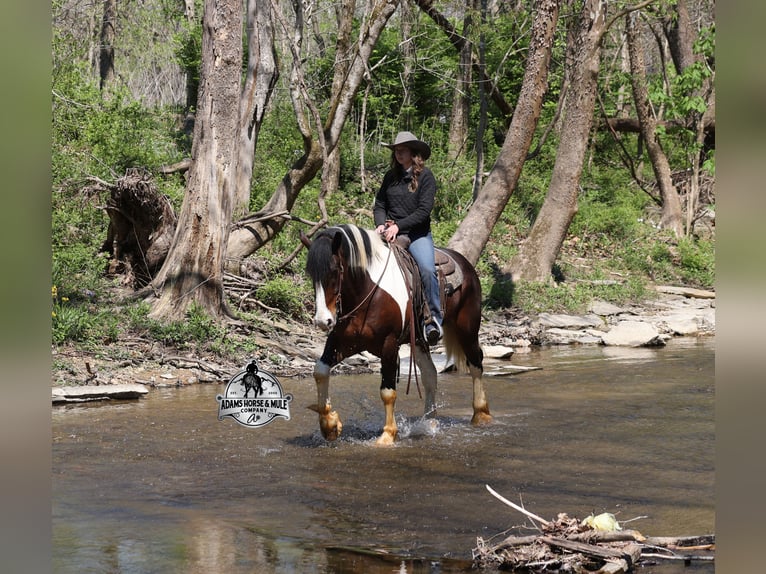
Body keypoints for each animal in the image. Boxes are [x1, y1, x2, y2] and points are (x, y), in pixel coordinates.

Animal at [302, 224, 491, 445]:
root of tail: (465, 263)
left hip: (467, 330)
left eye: (335, 271)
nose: (323, 321)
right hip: (419, 340)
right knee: (430, 375)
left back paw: (481, 414)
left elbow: (388, 392)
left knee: (476, 364)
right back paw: (429, 422)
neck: (368, 292)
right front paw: (330, 425)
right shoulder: (342, 342)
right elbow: (320, 371)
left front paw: (387, 435)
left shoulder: (389, 345)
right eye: (310, 274)